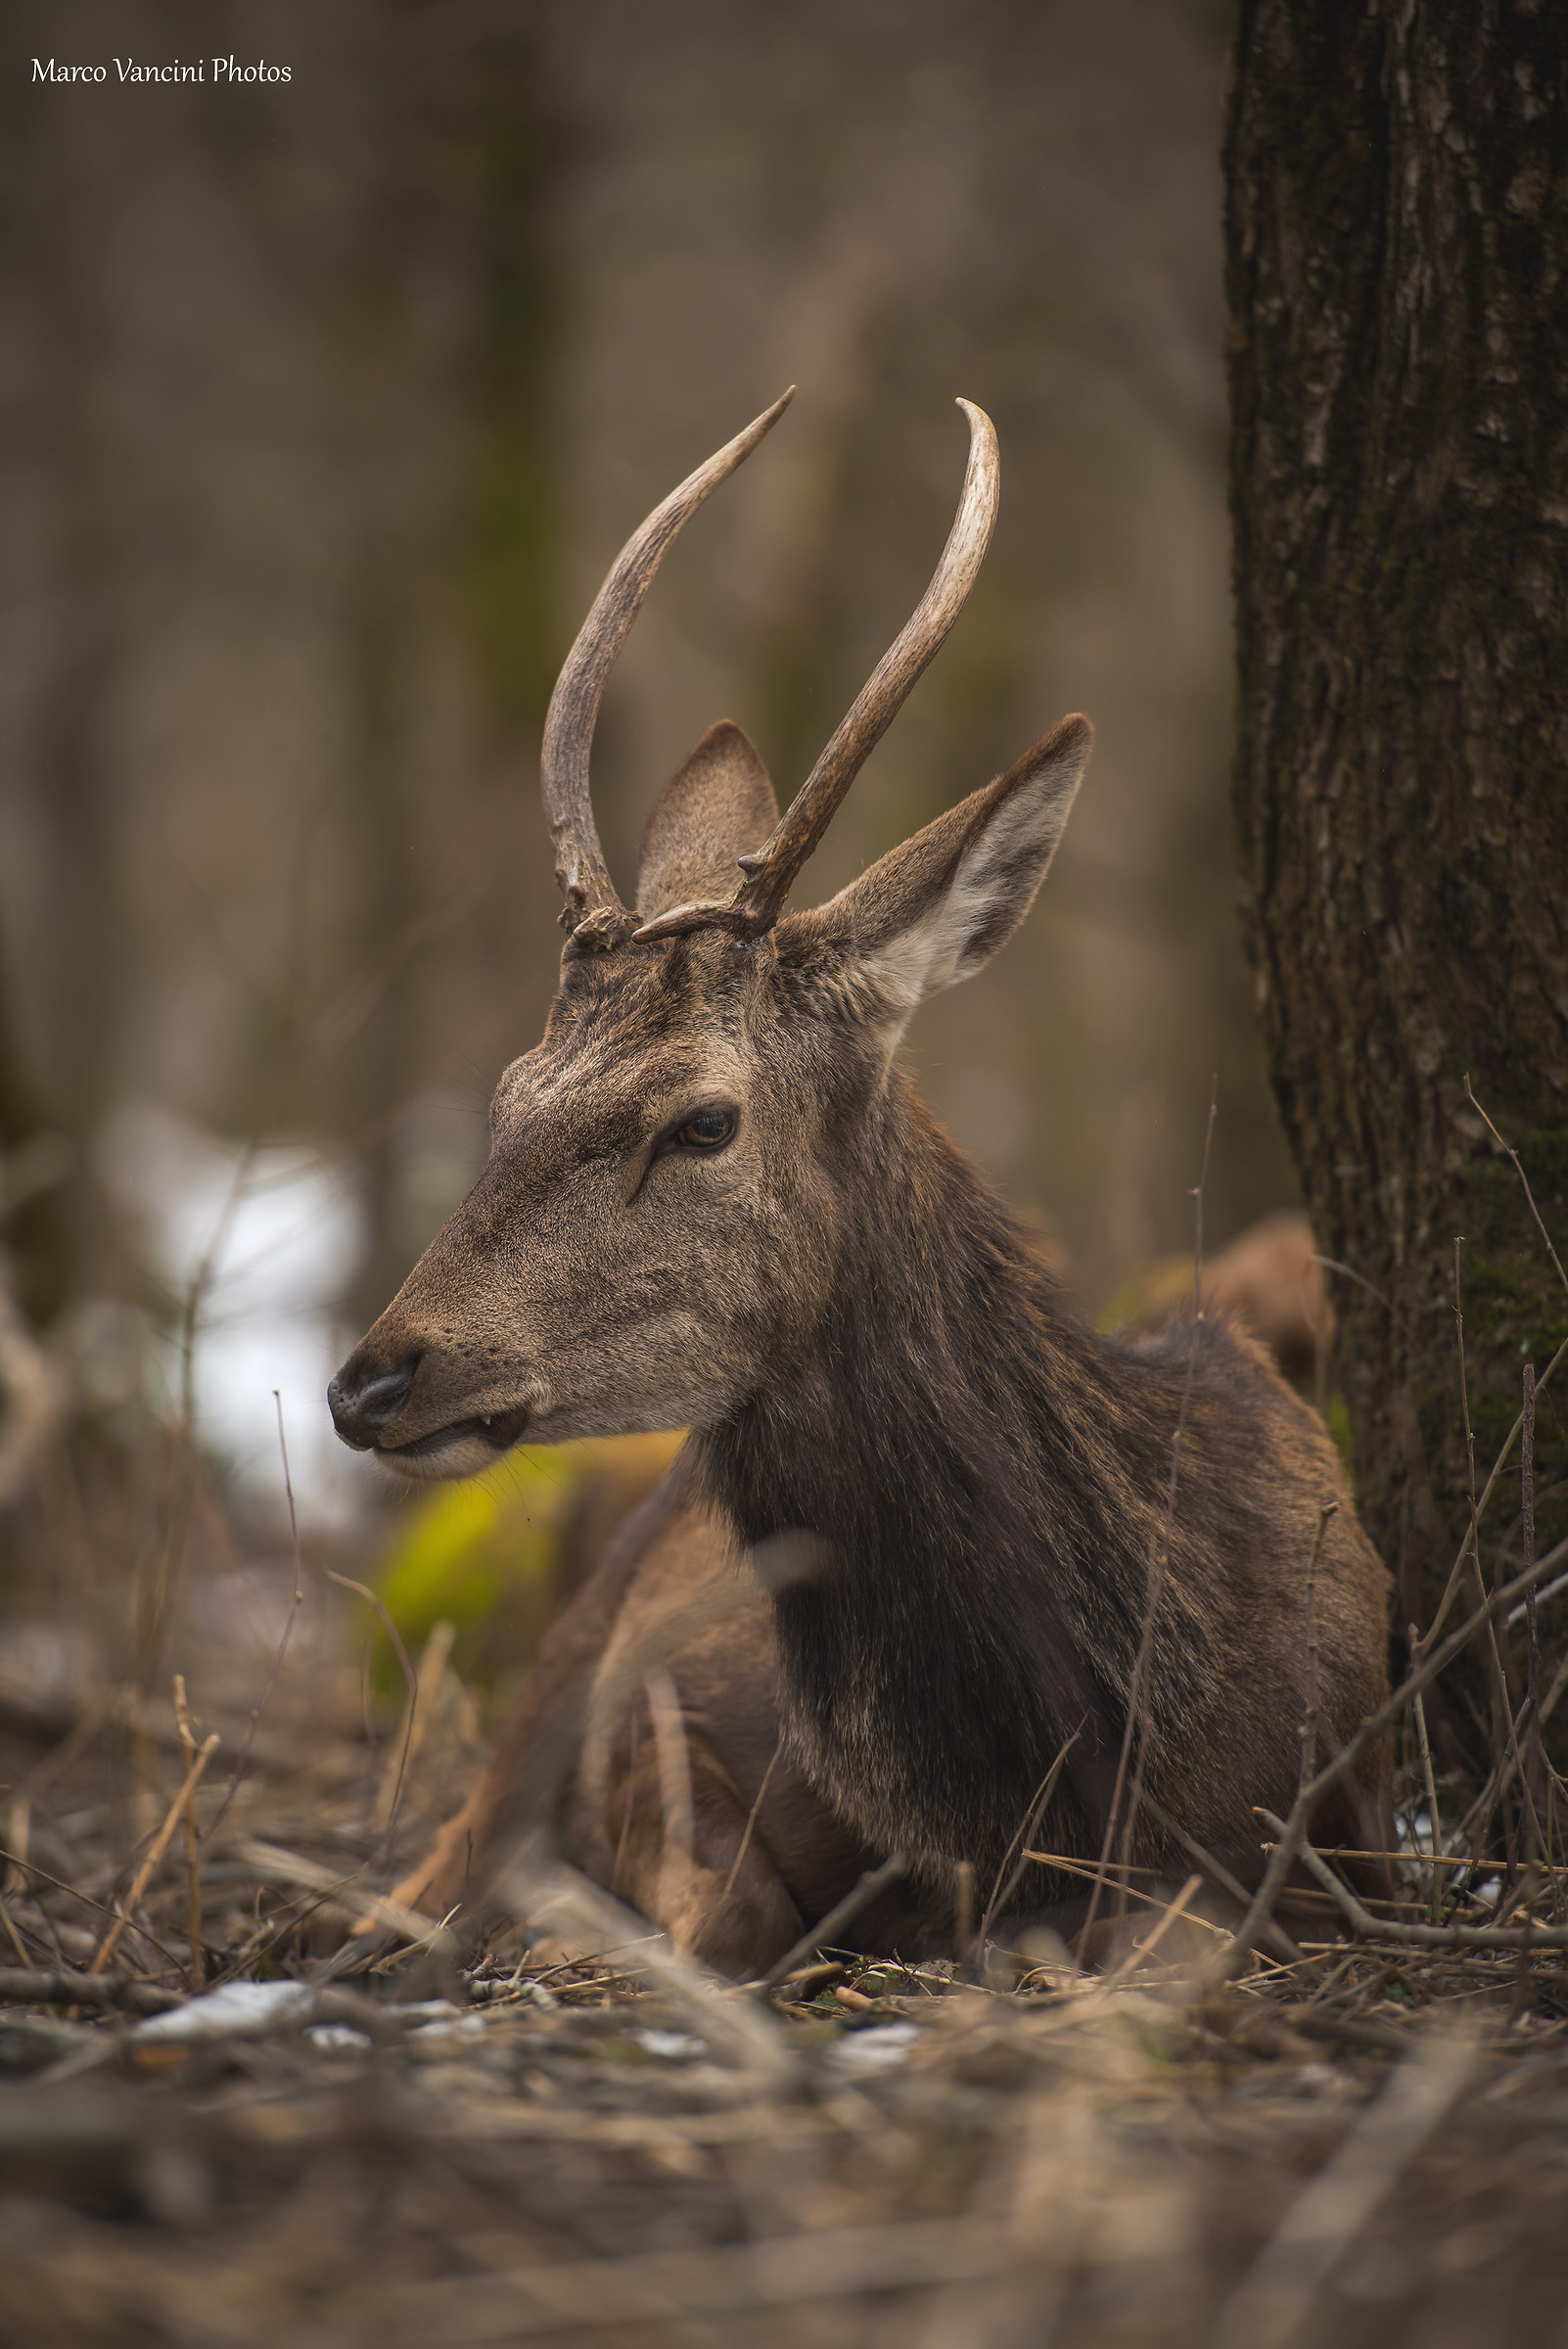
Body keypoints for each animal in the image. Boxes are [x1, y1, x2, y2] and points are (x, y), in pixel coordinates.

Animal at [328, 390, 1391, 1975]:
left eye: (701, 1121)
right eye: (512, 1093)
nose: (372, 1378)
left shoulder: (1332, 1838)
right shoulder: (661, 1747)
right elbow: (722, 1911)